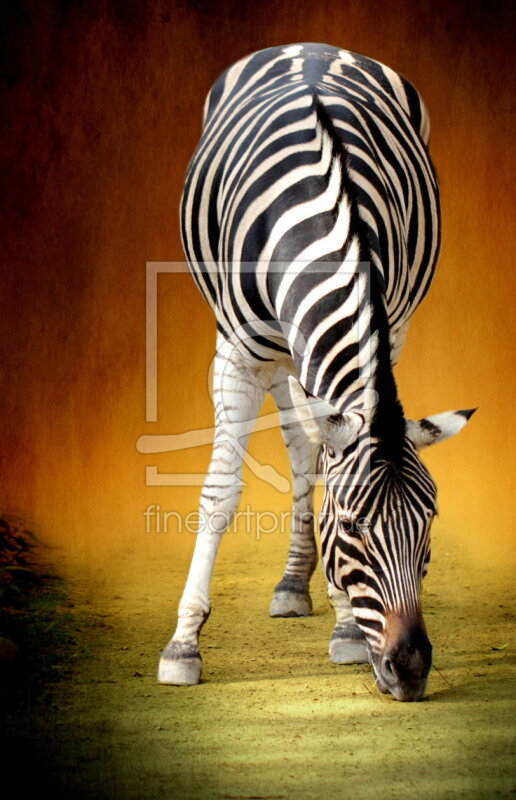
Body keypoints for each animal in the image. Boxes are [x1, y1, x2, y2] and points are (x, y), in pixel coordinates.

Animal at [158, 42, 476, 700]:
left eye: (429, 523)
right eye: (351, 528)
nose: (410, 671)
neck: (317, 217)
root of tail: (313, 45)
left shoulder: (389, 327)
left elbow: (330, 461)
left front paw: (347, 627)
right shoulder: (236, 355)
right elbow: (220, 492)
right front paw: (183, 643)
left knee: (310, 444)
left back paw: (300, 586)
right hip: (274, 352)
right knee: (302, 442)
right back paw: (292, 585)